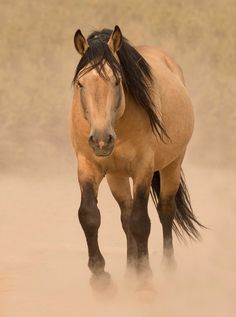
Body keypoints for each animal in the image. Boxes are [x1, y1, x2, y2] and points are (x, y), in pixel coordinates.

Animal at [69, 24, 203, 286]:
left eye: (117, 80)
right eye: (81, 83)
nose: (101, 140)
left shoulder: (143, 169)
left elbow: (141, 222)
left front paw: (145, 274)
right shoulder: (88, 166)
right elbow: (89, 215)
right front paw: (100, 276)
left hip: (172, 164)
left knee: (165, 211)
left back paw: (167, 269)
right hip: (117, 176)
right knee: (126, 215)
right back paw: (130, 269)